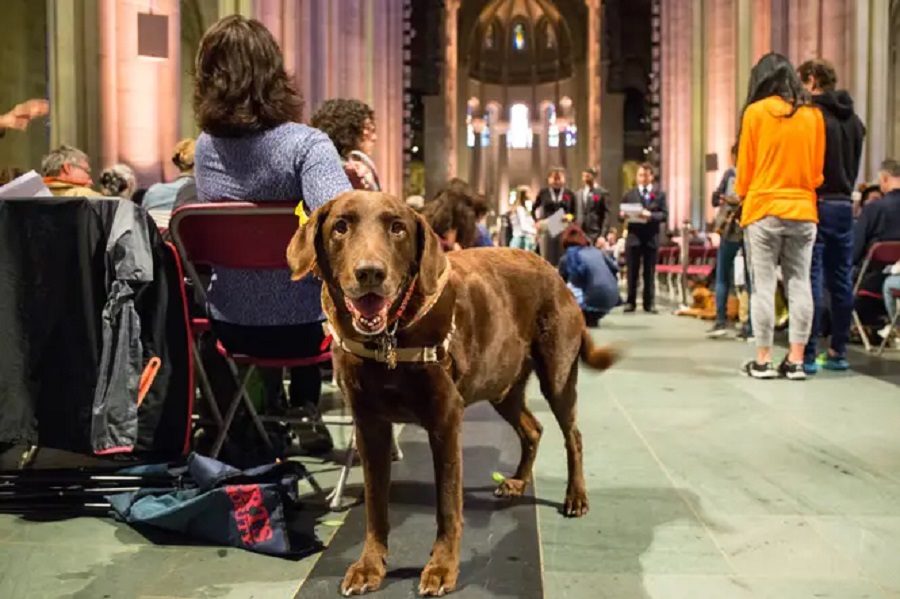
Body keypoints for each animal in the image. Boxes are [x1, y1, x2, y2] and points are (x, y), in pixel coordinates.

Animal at [288, 192, 620, 596]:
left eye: (397, 228)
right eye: (340, 226)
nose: (370, 273)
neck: (391, 338)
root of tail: (554, 272)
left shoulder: (445, 421)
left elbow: (448, 504)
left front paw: (441, 568)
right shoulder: (370, 426)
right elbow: (375, 505)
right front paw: (370, 566)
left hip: (557, 377)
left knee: (573, 436)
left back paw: (575, 496)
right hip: (502, 385)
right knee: (533, 429)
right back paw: (517, 482)